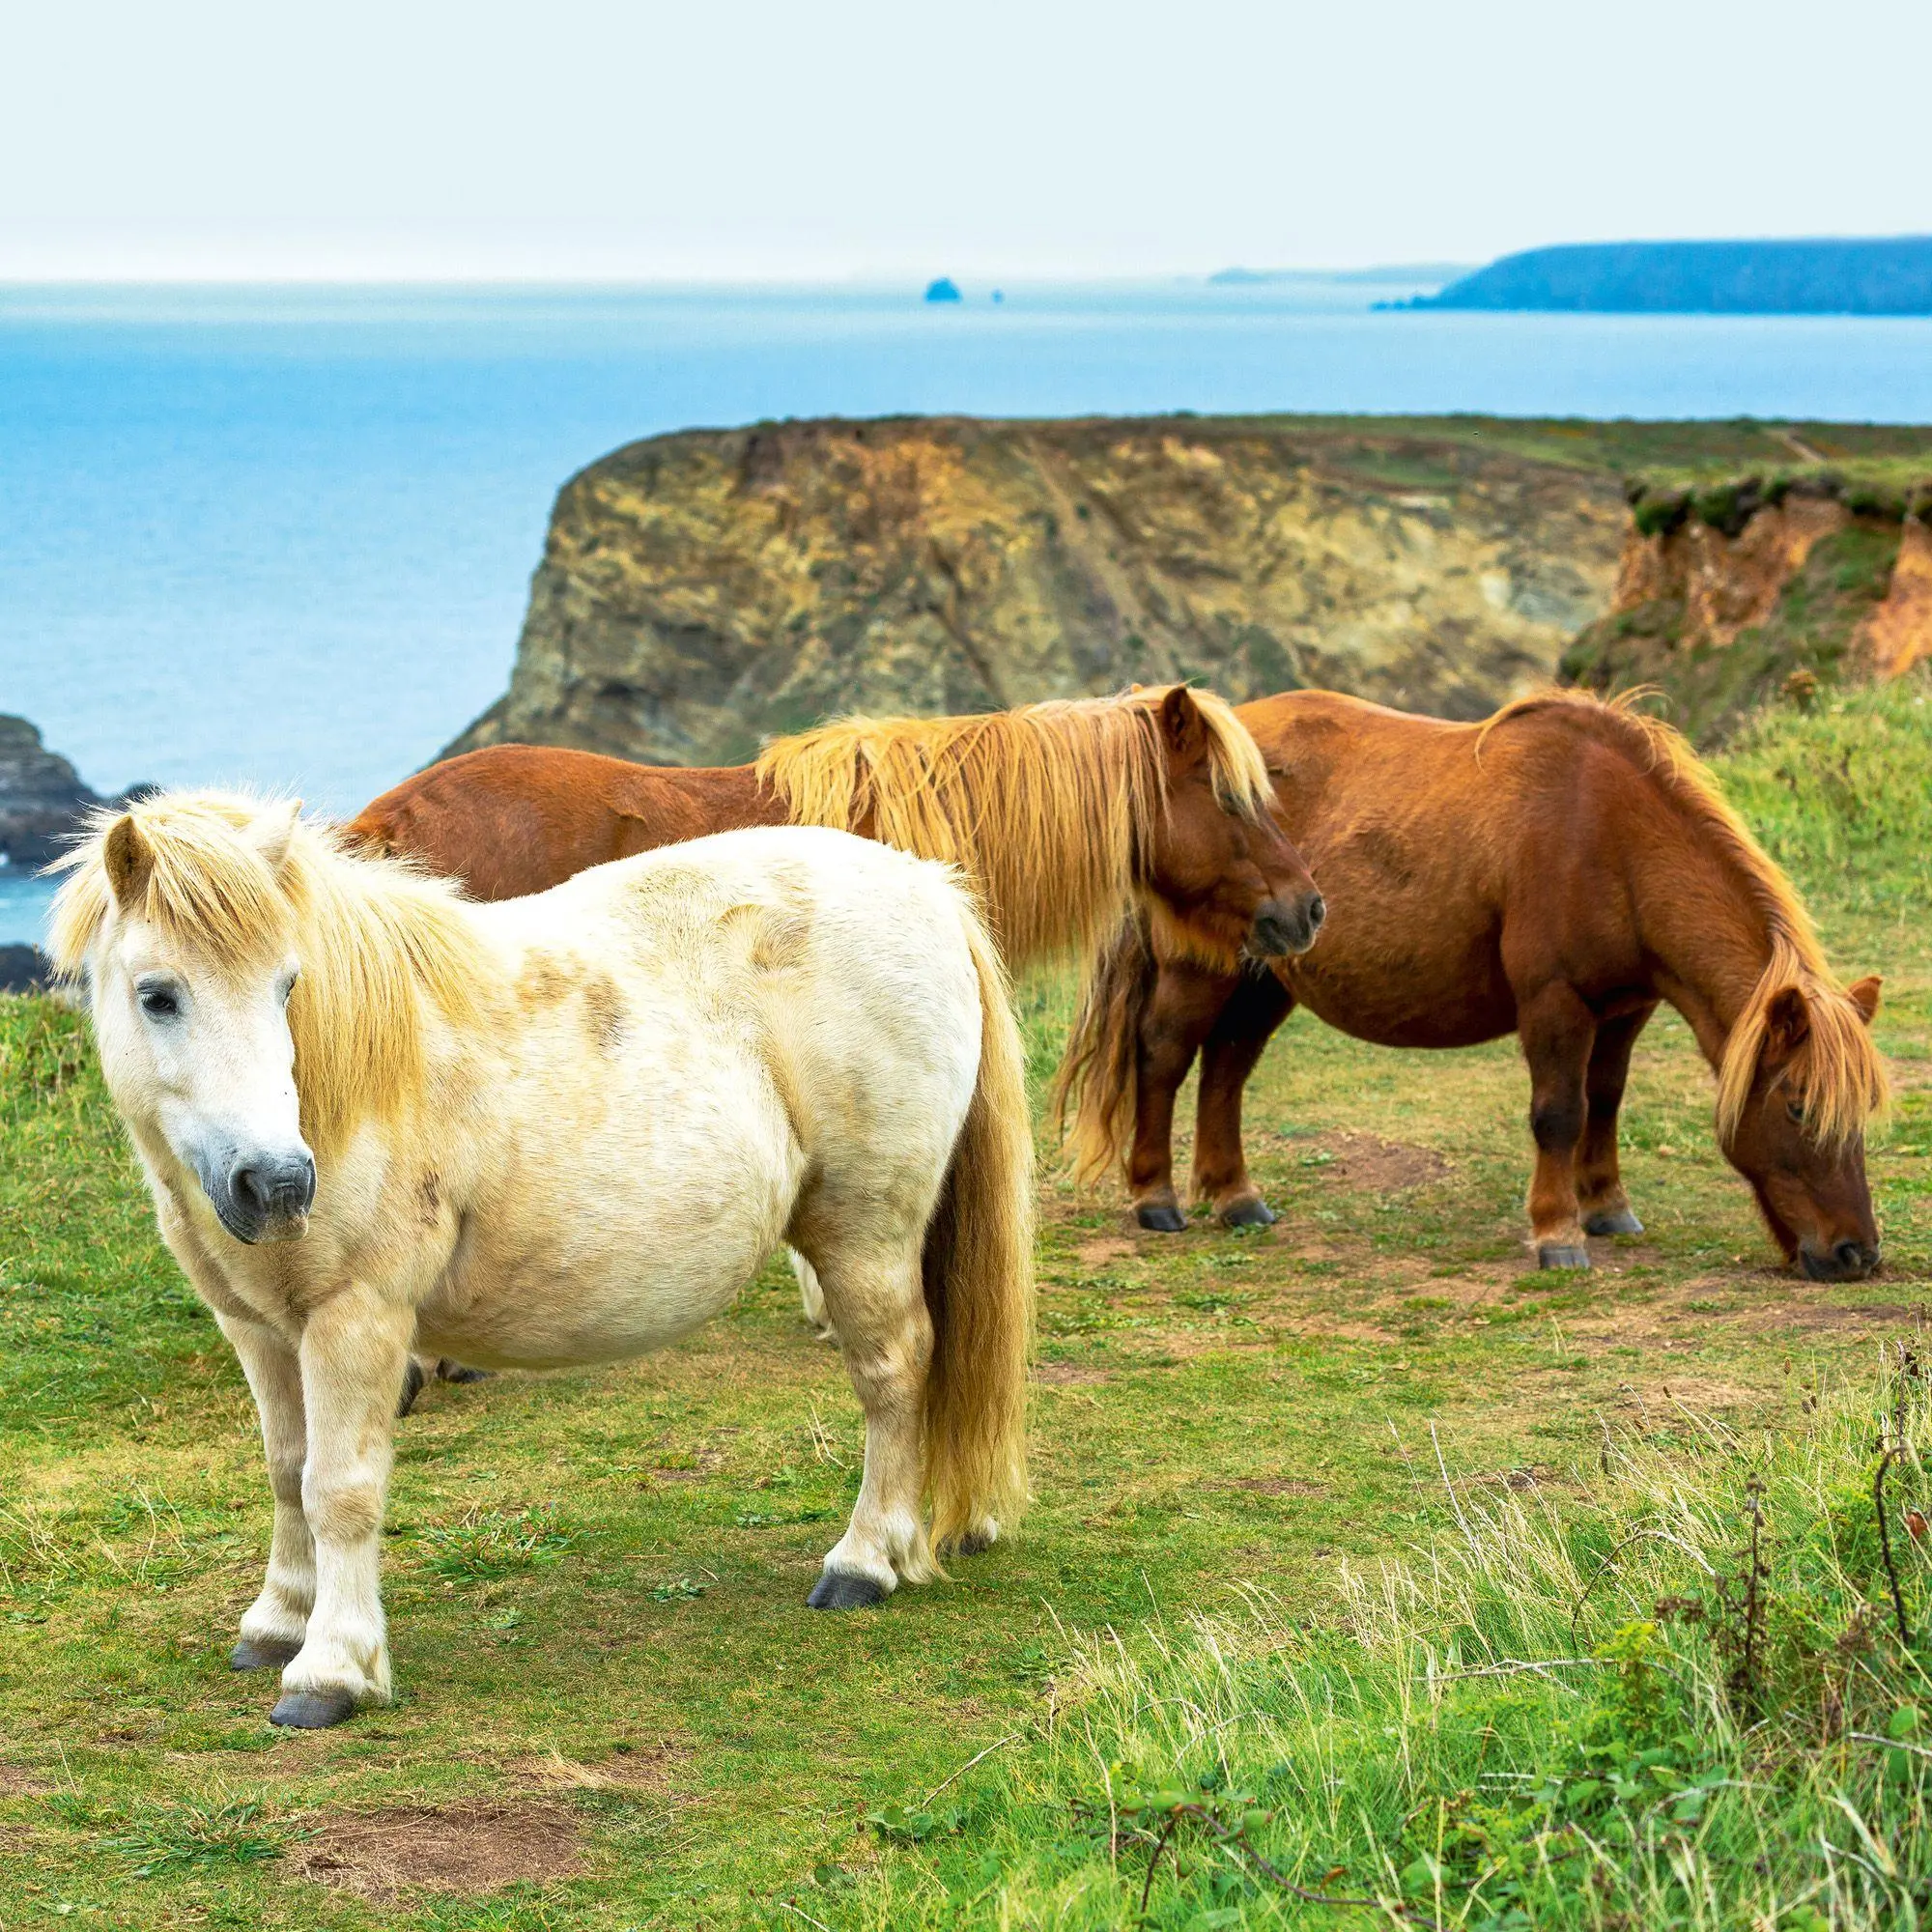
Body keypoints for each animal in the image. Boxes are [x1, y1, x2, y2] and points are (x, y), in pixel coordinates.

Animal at [51, 792, 1035, 1729]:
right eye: (158, 995)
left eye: (288, 984)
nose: (279, 1184)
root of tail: (929, 890)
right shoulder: (258, 1329)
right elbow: (287, 1472)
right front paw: (277, 1624)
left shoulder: (356, 1320)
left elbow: (341, 1491)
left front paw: (331, 1670)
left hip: (865, 1232)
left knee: (894, 1372)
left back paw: (866, 1562)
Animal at [1056, 689, 1889, 1281]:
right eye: (1797, 1105)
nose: (1857, 1254)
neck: (1609, 836)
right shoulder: (1554, 1003)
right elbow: (1560, 1113)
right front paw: (1558, 1235)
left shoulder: (1625, 1009)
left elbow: (1605, 1103)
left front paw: (1607, 1208)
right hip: (1205, 969)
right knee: (1165, 1057)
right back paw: (1156, 1198)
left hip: (1270, 975)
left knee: (1226, 1068)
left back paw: (1236, 1197)